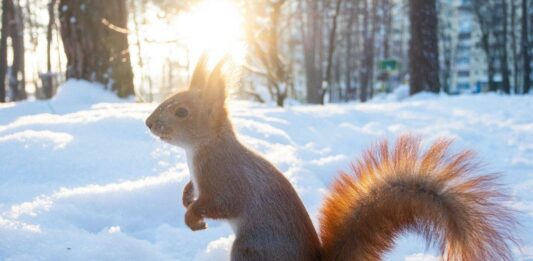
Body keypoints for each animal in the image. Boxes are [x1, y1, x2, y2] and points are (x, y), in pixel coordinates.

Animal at [145, 54, 516, 258]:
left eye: (181, 112)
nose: (148, 123)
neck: (201, 149)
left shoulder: (226, 178)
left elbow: (221, 204)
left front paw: (193, 216)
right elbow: (193, 191)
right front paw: (185, 197)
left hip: (251, 250)